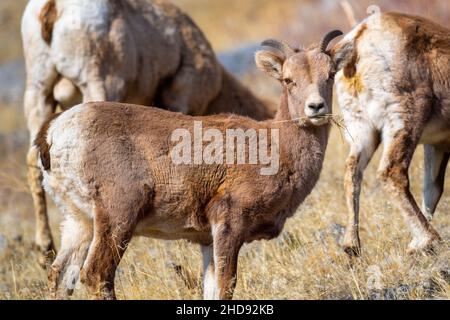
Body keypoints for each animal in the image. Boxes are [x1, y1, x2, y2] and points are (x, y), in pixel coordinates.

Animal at [35, 30, 342, 300]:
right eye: (288, 80)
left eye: (330, 75)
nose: (316, 107)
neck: (276, 149)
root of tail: (55, 132)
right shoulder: (229, 225)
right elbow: (226, 286)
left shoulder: (207, 240)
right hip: (117, 217)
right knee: (97, 274)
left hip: (79, 223)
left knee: (60, 276)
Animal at [330, 12, 446, 256]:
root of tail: (360, 39)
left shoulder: (437, 144)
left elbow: (432, 189)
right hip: (404, 122)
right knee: (392, 172)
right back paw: (428, 240)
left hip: (363, 131)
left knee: (352, 171)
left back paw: (352, 245)